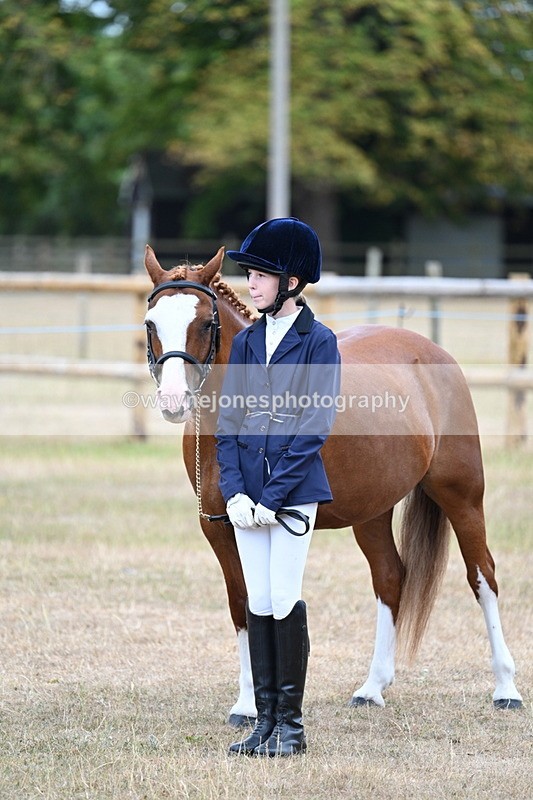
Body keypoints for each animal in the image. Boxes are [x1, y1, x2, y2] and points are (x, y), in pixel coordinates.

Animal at [143, 244, 523, 723]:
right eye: (151, 323)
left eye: (205, 324)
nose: (174, 401)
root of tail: (433, 353)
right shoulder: (220, 528)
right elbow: (243, 604)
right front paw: (248, 705)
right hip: (373, 510)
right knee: (390, 578)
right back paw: (372, 687)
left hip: (462, 496)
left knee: (482, 576)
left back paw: (506, 687)